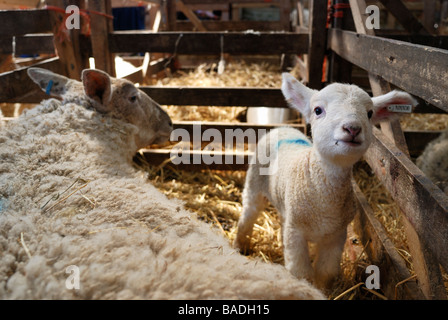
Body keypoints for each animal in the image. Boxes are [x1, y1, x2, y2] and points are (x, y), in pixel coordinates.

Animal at [233, 74, 418, 292]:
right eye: (318, 110)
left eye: (370, 113)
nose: (352, 128)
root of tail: (283, 129)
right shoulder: (296, 234)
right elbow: (301, 273)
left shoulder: (336, 235)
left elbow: (325, 272)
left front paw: (322, 291)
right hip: (254, 184)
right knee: (249, 213)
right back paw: (240, 245)